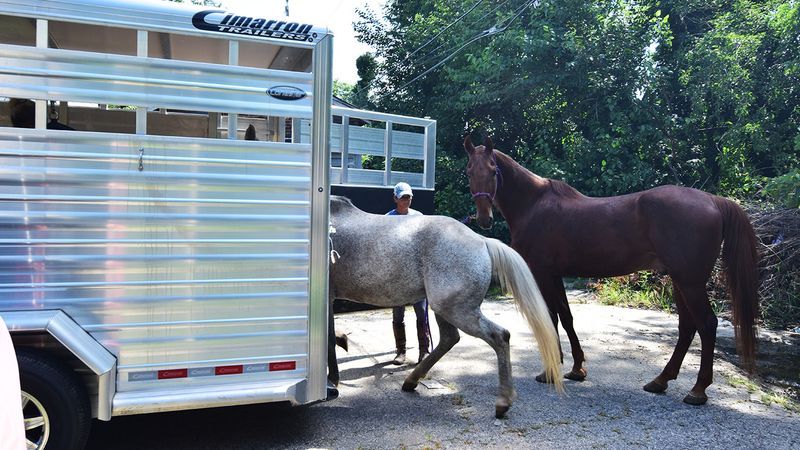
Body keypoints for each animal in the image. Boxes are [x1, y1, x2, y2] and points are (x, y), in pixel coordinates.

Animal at [326, 195, 564, 418]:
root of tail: (481, 240)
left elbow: (328, 340)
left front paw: (332, 381)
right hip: (444, 309)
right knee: (450, 338)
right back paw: (411, 381)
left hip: (455, 310)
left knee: (499, 336)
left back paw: (503, 402)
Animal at [462, 136, 759, 406]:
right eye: (469, 171)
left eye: (493, 170)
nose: (484, 218)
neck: (534, 205)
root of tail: (712, 200)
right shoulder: (556, 275)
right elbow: (566, 318)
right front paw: (576, 368)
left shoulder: (543, 273)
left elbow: (552, 318)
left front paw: (550, 371)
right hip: (680, 282)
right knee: (687, 326)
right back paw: (661, 380)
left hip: (690, 283)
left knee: (706, 324)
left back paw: (697, 391)